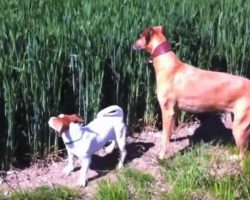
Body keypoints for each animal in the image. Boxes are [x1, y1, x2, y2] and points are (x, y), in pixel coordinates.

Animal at [134, 25, 250, 159]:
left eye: (140, 36)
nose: (132, 44)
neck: (168, 65)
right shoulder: (175, 111)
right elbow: (169, 133)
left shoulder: (167, 110)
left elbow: (164, 138)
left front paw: (161, 157)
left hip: (239, 126)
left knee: (243, 155)